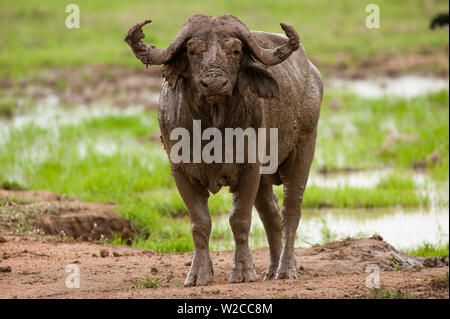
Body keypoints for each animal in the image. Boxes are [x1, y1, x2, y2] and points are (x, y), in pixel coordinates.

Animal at [125, 14, 322, 288]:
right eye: (192, 50)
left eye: (236, 50)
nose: (215, 83)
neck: (213, 129)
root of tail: (313, 75)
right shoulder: (180, 171)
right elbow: (200, 223)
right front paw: (198, 274)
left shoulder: (250, 168)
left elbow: (239, 219)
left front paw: (243, 272)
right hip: (265, 178)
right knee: (271, 214)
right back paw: (271, 270)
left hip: (303, 148)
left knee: (290, 211)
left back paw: (285, 269)